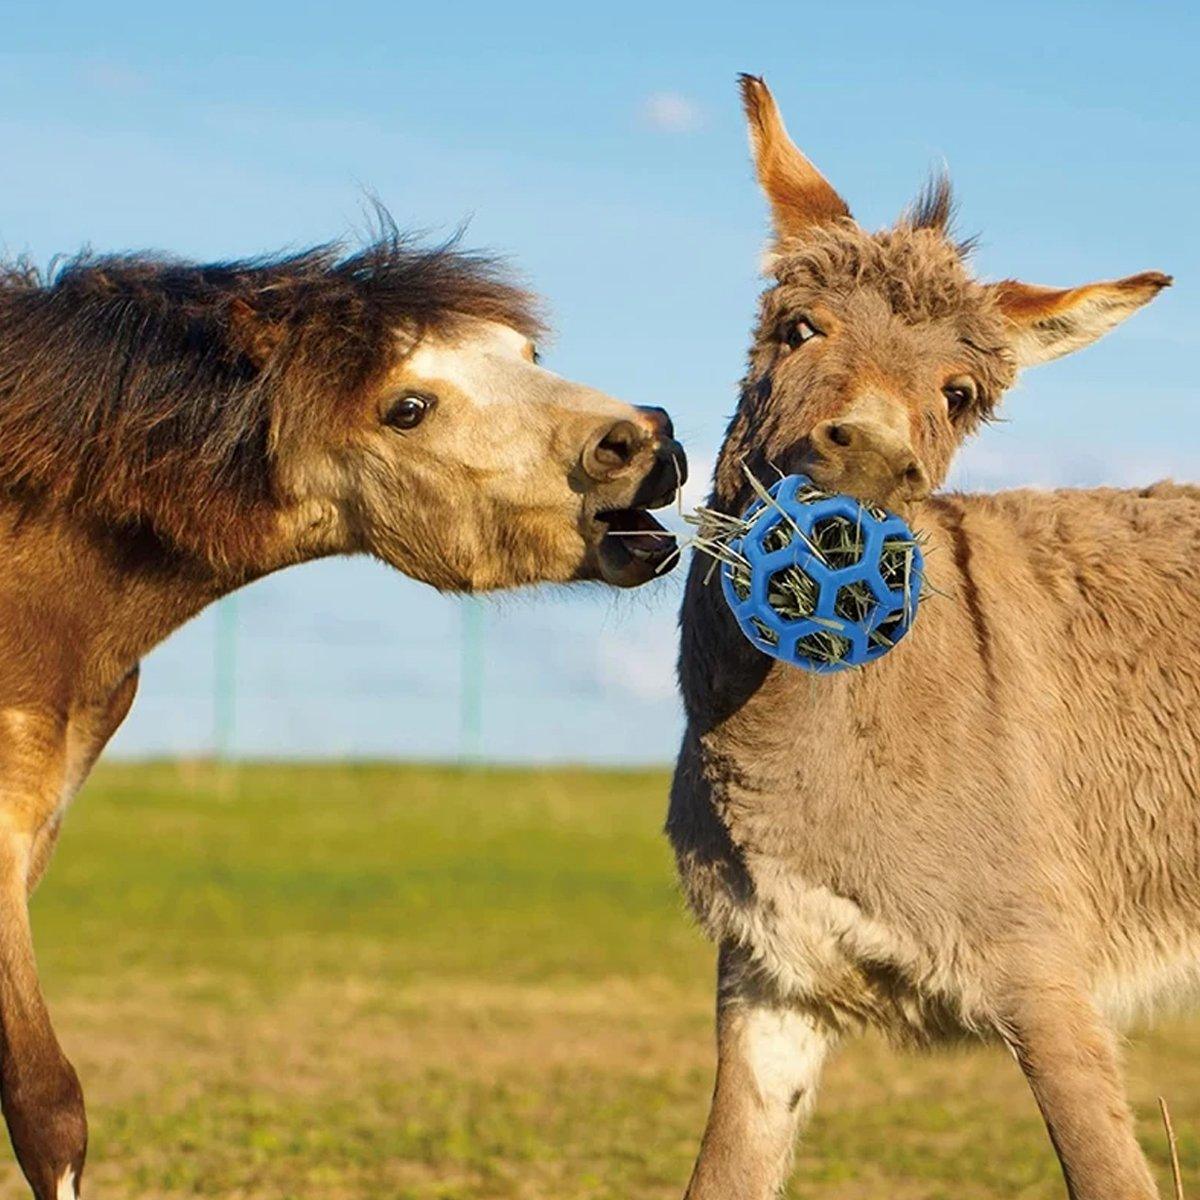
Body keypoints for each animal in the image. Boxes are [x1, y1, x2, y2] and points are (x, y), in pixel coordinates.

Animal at [672, 77, 1176, 1200]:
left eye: (961, 396)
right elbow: (724, 1173)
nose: (871, 460)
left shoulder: (1046, 978)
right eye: (797, 328)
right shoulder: (770, 980)